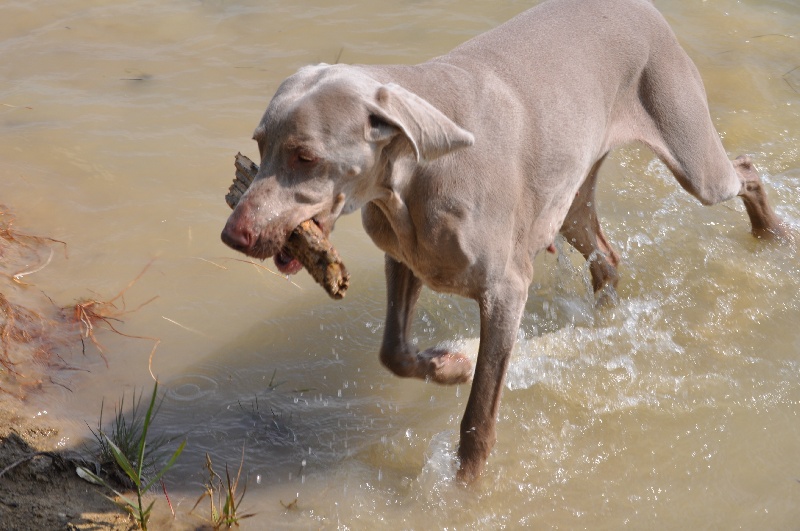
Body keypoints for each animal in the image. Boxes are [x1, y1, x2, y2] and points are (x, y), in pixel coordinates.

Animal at [221, 0, 787, 482]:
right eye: (259, 144)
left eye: (306, 156)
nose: (233, 235)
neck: (411, 183)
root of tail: (643, 7)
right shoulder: (404, 257)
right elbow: (393, 352)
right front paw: (449, 365)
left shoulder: (506, 290)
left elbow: (479, 416)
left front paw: (465, 487)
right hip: (569, 200)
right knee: (606, 256)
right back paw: (603, 322)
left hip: (692, 156)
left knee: (745, 169)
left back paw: (772, 233)